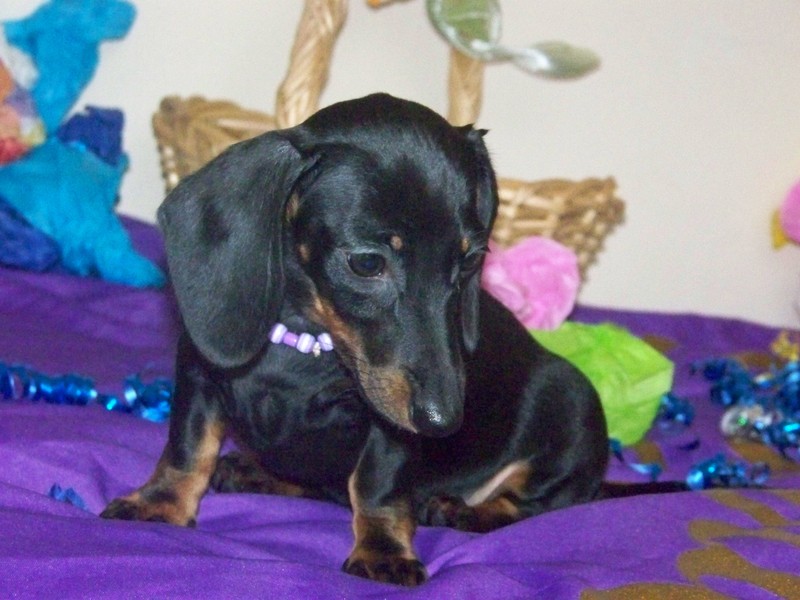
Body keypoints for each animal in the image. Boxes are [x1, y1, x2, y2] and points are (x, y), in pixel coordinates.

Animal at [101, 93, 684, 586]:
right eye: (367, 263)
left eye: (469, 262)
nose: (443, 422)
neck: (305, 340)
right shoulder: (200, 372)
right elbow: (188, 447)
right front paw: (161, 503)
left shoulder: (388, 422)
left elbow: (376, 484)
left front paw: (383, 550)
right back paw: (258, 473)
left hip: (571, 404)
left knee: (532, 504)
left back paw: (461, 508)